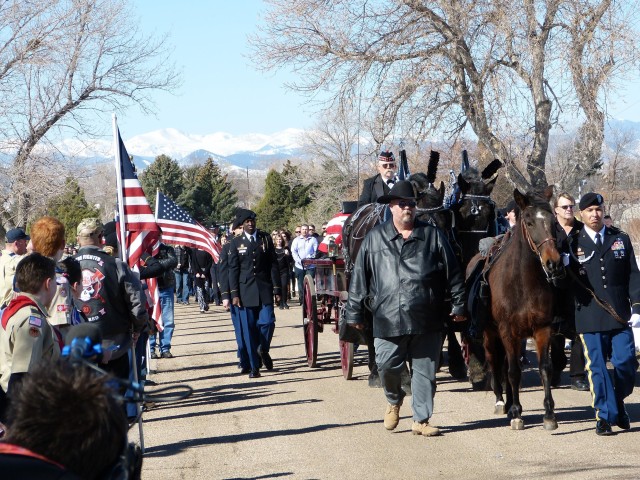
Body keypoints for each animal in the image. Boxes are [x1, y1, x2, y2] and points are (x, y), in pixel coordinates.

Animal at [480, 188, 564, 432]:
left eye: (553, 221)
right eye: (529, 221)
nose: (553, 262)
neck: (523, 281)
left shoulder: (542, 329)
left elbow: (545, 368)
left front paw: (549, 414)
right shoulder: (507, 331)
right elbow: (513, 371)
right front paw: (517, 413)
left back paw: (509, 402)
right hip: (490, 334)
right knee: (495, 362)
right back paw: (502, 402)